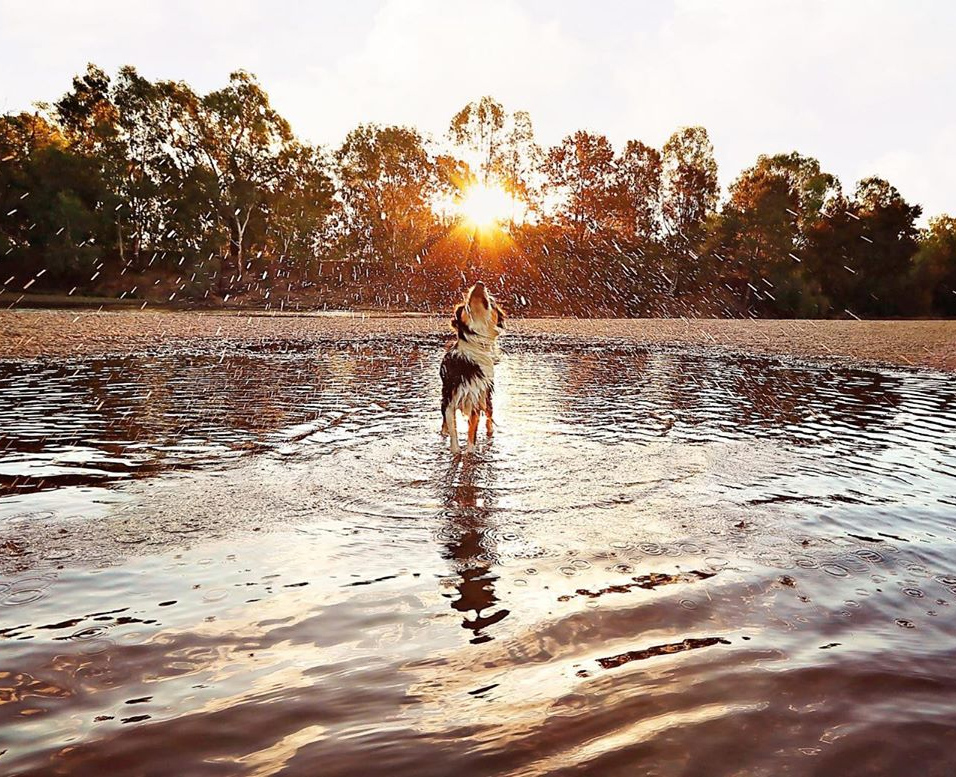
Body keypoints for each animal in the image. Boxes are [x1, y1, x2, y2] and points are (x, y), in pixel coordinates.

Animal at [436, 280, 504, 454]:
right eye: (465, 303)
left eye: (492, 303)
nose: (480, 283)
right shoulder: (450, 400)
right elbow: (453, 431)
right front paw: (456, 452)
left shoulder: (476, 399)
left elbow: (472, 433)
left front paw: (470, 452)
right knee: (444, 423)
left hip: (486, 398)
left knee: (489, 416)